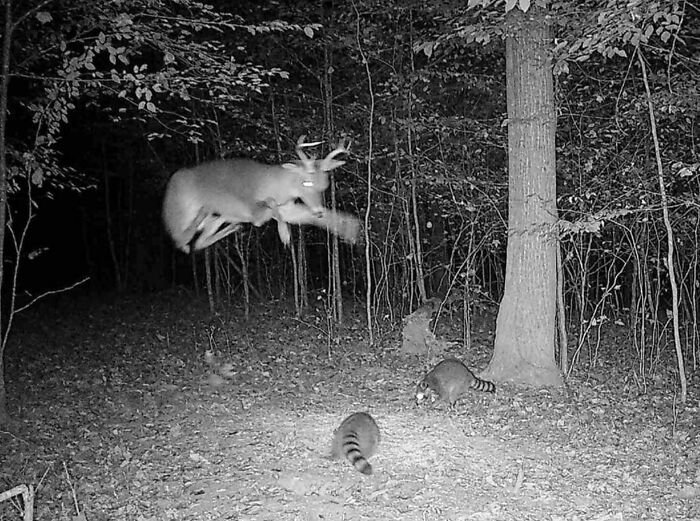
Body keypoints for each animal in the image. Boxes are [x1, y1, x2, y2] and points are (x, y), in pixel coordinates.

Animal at [162, 136, 360, 253]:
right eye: (306, 182)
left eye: (325, 184)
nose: (318, 209)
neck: (275, 185)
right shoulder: (253, 208)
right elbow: (268, 208)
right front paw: (285, 235)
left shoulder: (288, 207)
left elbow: (315, 217)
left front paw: (351, 229)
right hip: (180, 212)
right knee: (182, 240)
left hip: (213, 221)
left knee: (198, 243)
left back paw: (231, 226)